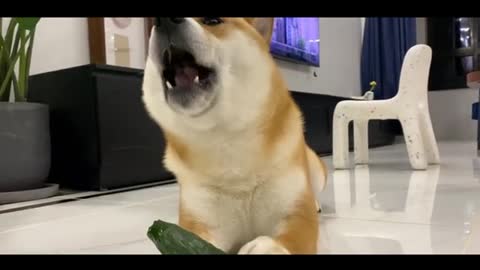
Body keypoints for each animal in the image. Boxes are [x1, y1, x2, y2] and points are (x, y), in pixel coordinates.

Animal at [142, 17, 326, 254]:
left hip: (314, 169)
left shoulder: (296, 213)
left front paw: (268, 248)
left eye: (213, 21)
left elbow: (293, 237)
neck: (226, 138)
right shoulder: (200, 223)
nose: (163, 20)